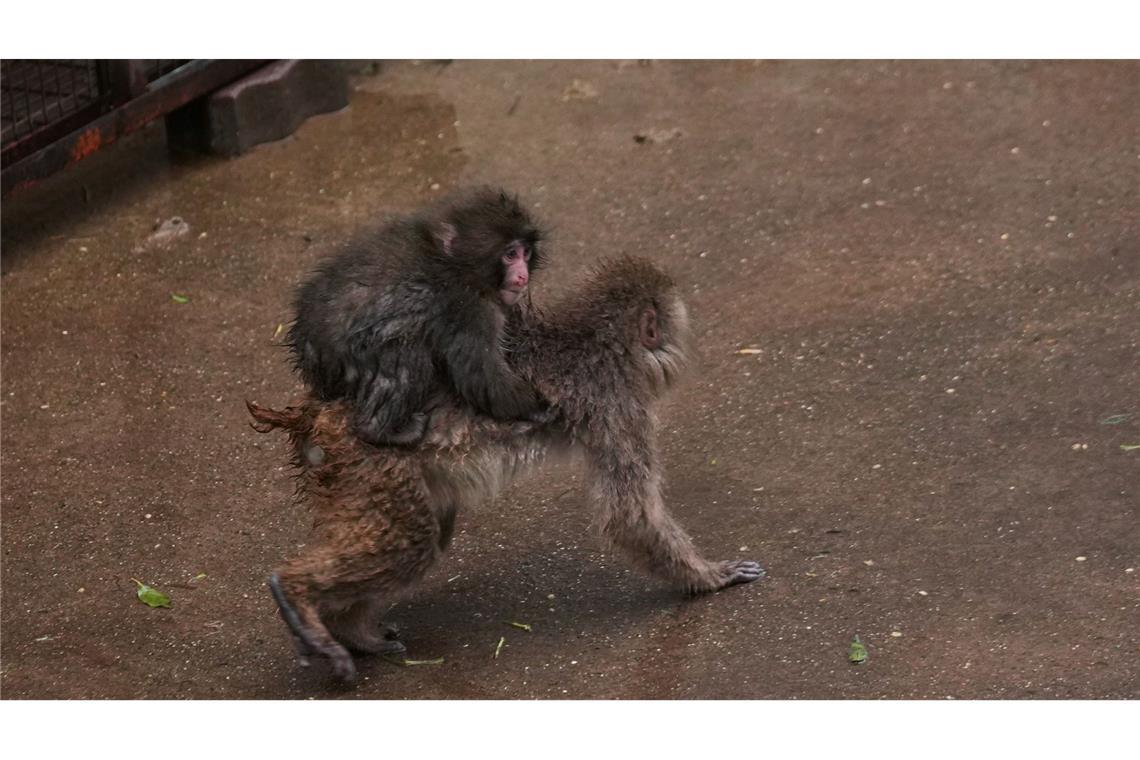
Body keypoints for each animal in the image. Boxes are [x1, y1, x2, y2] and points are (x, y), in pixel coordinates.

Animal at [250, 256, 764, 682]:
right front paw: (707, 577)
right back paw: (298, 594)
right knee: (412, 542)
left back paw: (349, 628)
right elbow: (629, 516)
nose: (679, 347)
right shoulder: (617, 404)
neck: (596, 342)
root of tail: (317, 411)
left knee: (427, 531)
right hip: (368, 463)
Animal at [286, 186, 549, 447]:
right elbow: (482, 376)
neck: (457, 264)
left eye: (526, 253)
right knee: (407, 356)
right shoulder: (468, 308)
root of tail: (308, 346)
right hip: (350, 356)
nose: (522, 276)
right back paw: (379, 430)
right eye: (510, 254)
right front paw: (537, 408)